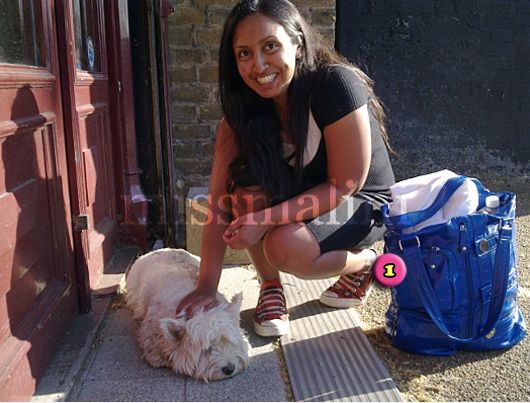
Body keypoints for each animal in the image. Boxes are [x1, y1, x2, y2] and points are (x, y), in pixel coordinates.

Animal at [124, 248, 250, 384]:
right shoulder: (150, 324)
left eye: (231, 342)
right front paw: (158, 357)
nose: (229, 369)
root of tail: (159, 250)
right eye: (207, 349)